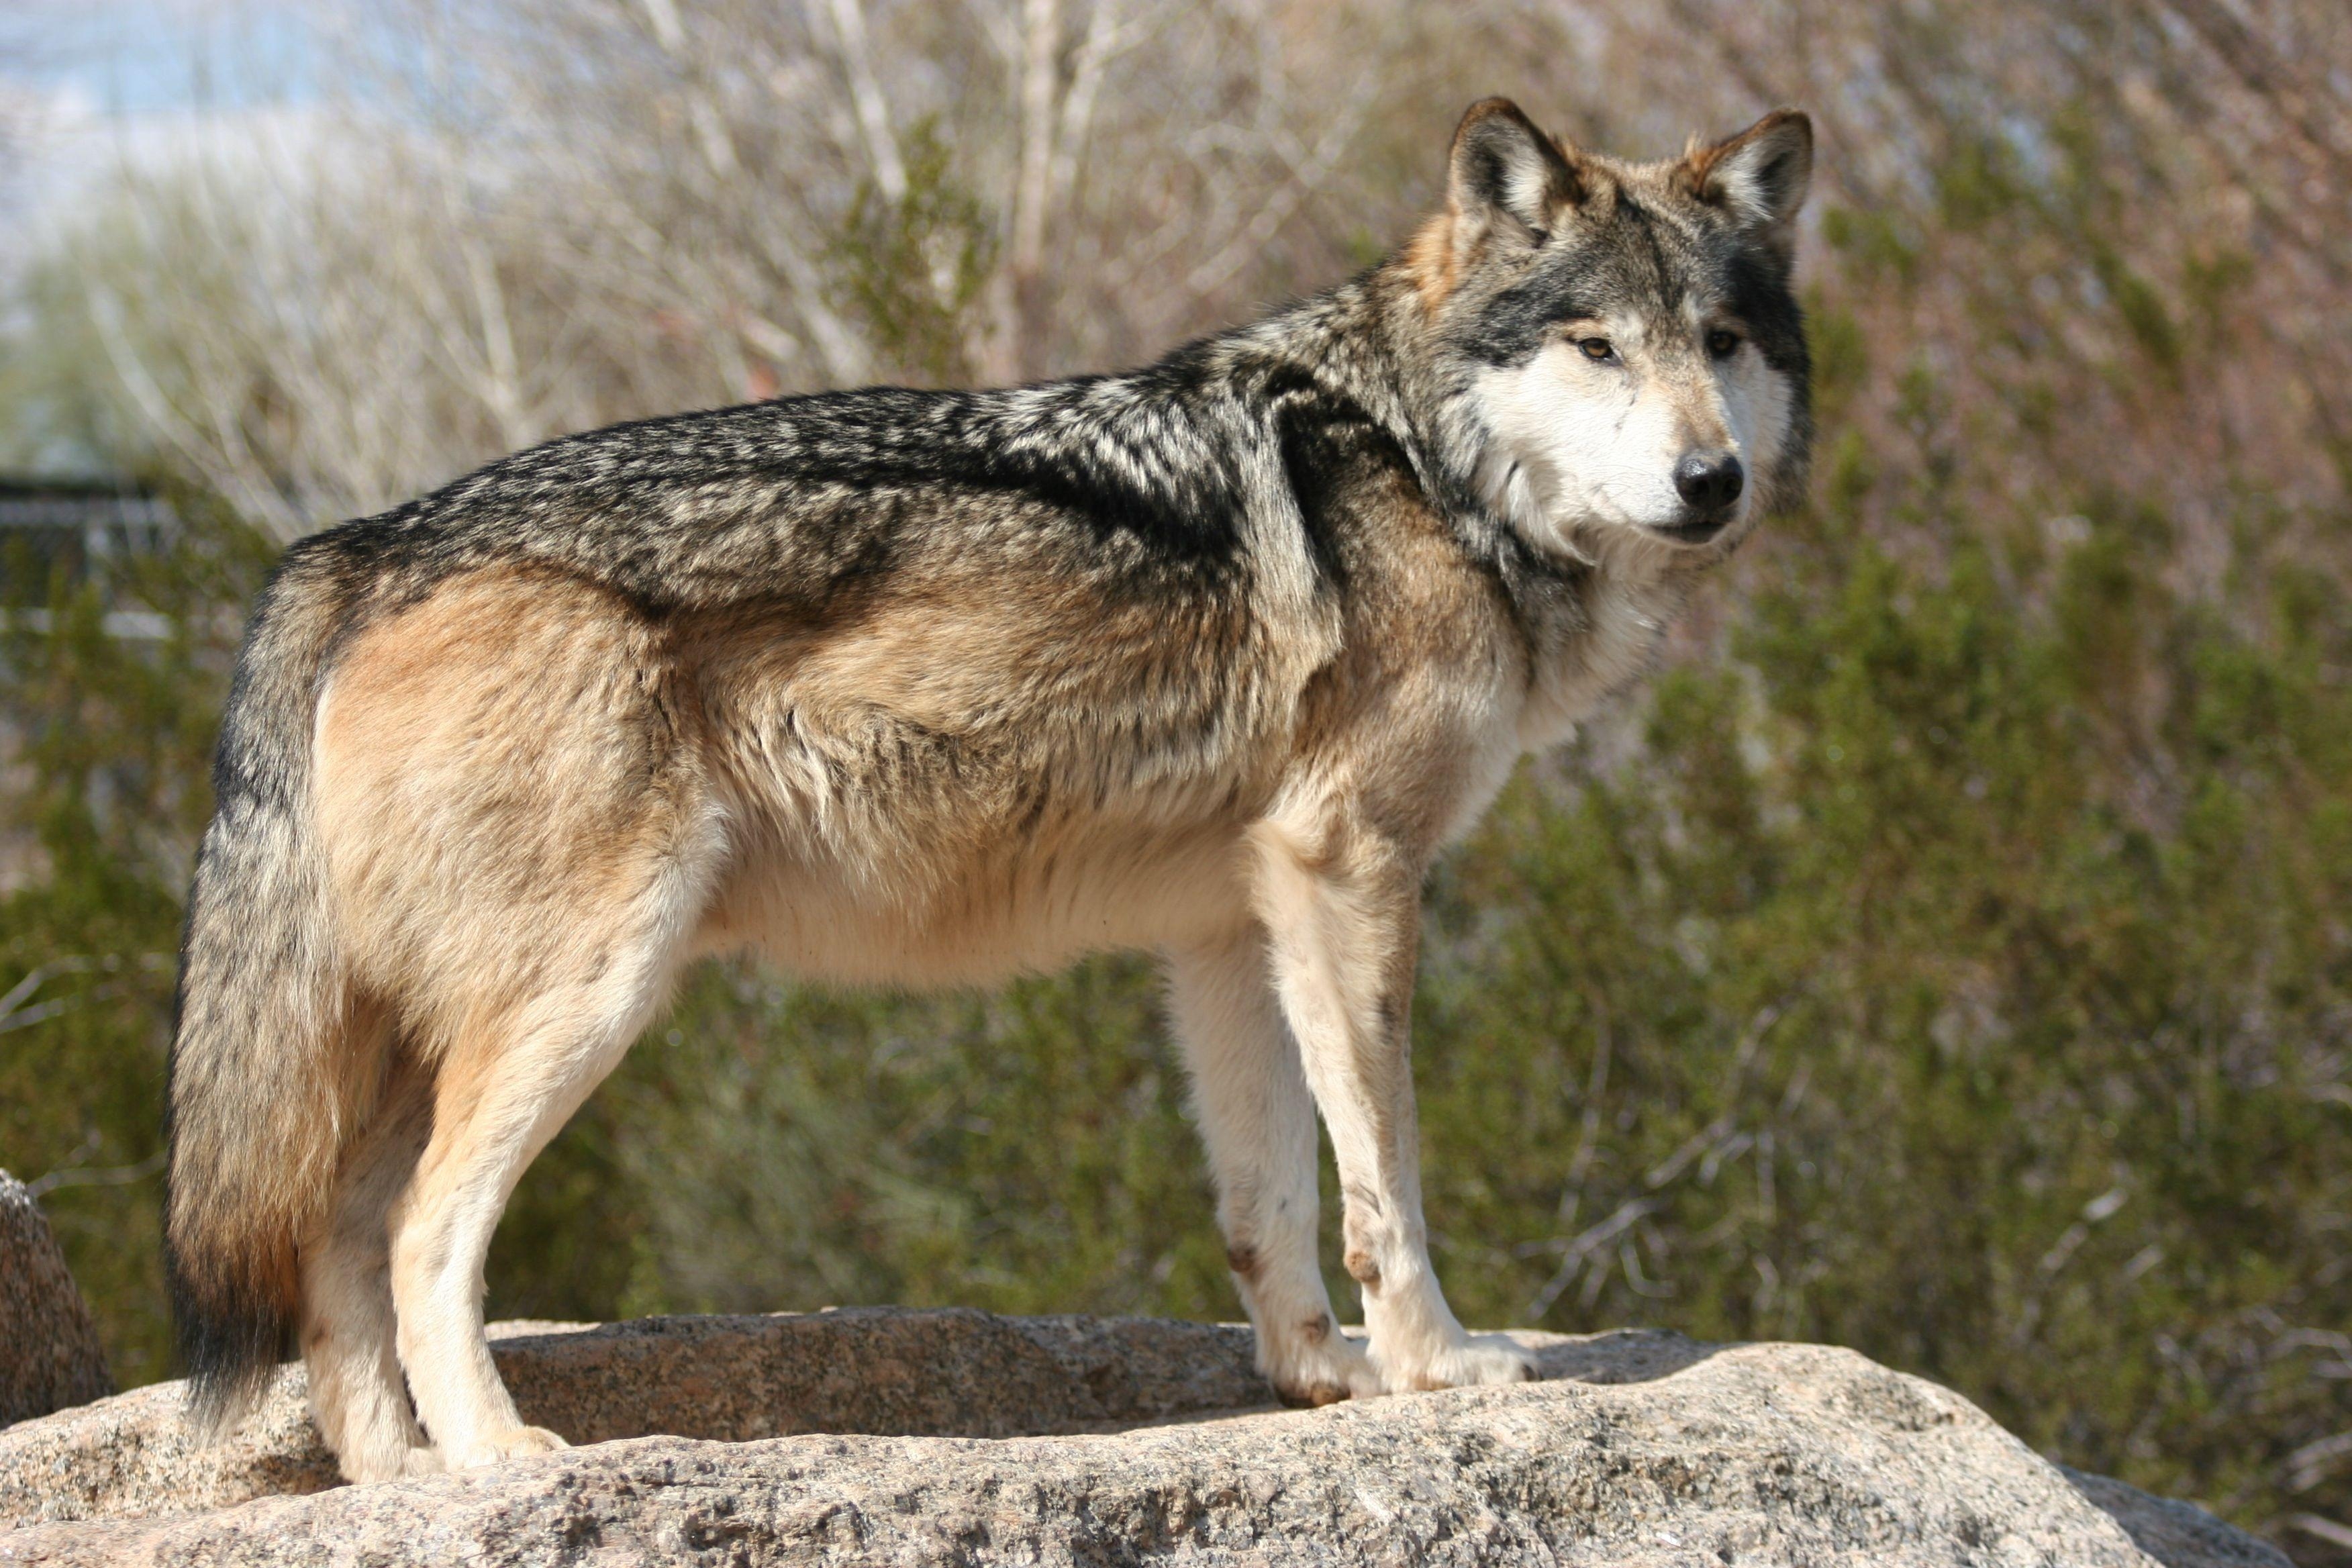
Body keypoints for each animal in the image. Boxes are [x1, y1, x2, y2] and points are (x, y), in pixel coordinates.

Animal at [170, 101, 1816, 1485]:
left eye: (1719, 339)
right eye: (1595, 345)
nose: (1712, 482)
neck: (1425, 463)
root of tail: (358, 543)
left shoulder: (1233, 925)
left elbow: (1270, 1196)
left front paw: (1316, 1381)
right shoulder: (1350, 872)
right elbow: (1383, 1183)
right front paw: (1438, 1367)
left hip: (428, 1035)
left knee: (331, 1249)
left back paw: (396, 1482)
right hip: (587, 993)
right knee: (421, 1240)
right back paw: (499, 1459)